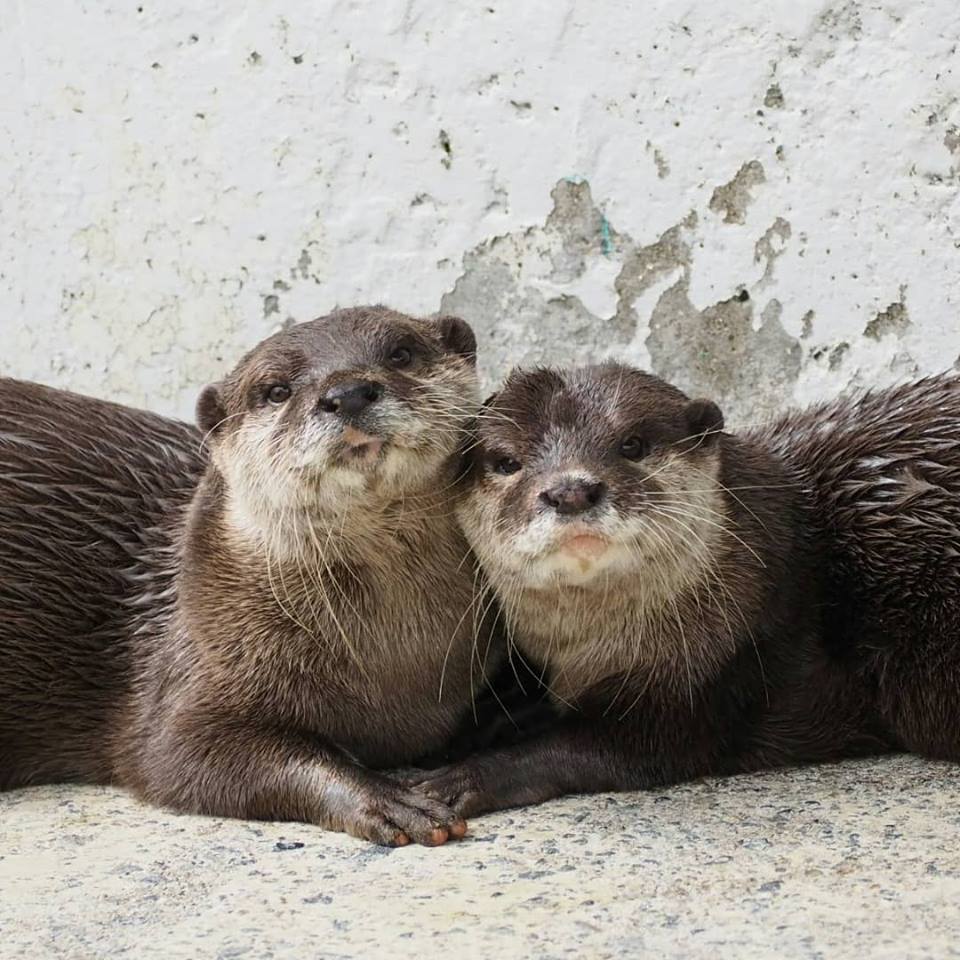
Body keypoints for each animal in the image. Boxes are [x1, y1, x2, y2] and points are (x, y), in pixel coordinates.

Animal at [0, 305, 495, 845]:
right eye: (276, 390)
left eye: (401, 353)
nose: (346, 393)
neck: (394, 662)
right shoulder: (188, 675)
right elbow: (176, 757)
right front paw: (385, 798)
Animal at [405, 364, 960, 816]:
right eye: (506, 462)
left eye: (632, 444)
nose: (570, 489)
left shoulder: (710, 675)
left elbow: (614, 749)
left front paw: (463, 777)